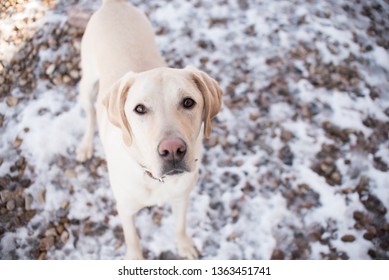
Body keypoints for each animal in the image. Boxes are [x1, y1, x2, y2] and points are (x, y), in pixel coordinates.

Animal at [76, 0, 221, 260]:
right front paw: (135, 257)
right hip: (88, 83)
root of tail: (114, 5)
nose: (172, 150)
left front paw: (183, 245)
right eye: (140, 109)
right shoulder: (125, 208)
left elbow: (180, 225)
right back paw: (86, 145)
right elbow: (132, 237)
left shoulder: (182, 198)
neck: (155, 179)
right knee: (90, 113)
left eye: (188, 102)